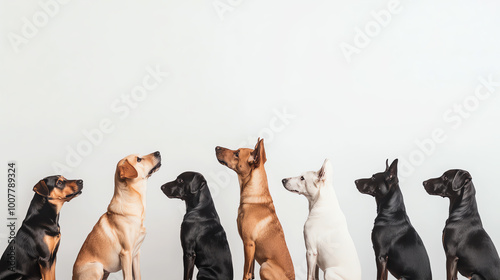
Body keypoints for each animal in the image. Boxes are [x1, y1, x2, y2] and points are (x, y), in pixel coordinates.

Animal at [214, 138, 292, 280]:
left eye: (237, 154)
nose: (217, 147)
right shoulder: (252, 250)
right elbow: (251, 271)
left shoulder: (248, 244)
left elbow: (245, 272)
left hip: (265, 266)